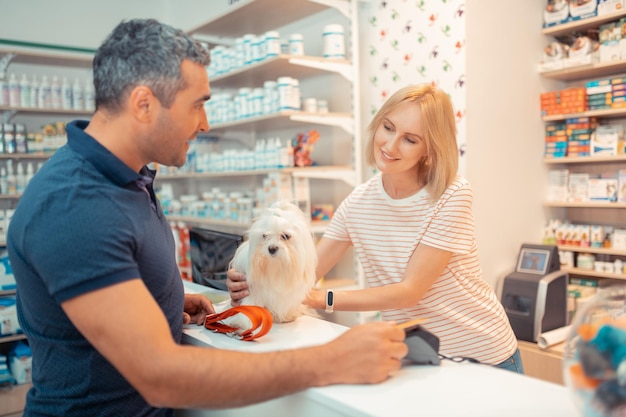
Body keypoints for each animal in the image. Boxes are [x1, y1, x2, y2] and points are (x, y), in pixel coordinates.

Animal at [223, 200, 314, 330]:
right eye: (264, 236)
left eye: (286, 236)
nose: (272, 248)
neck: (275, 267)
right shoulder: (251, 289)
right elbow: (249, 303)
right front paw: (242, 323)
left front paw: (287, 316)